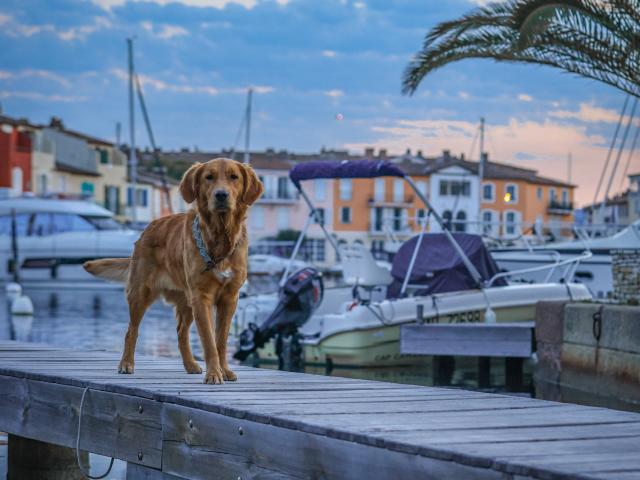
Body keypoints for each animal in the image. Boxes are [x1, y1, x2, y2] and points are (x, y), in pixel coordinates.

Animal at [84, 159, 262, 384]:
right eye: (209, 177)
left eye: (234, 177)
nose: (221, 195)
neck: (219, 236)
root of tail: (146, 229)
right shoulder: (201, 298)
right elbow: (209, 341)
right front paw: (214, 373)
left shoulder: (229, 298)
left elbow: (220, 340)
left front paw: (224, 370)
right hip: (141, 293)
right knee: (131, 331)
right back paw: (126, 364)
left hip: (185, 301)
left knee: (180, 332)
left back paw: (190, 365)